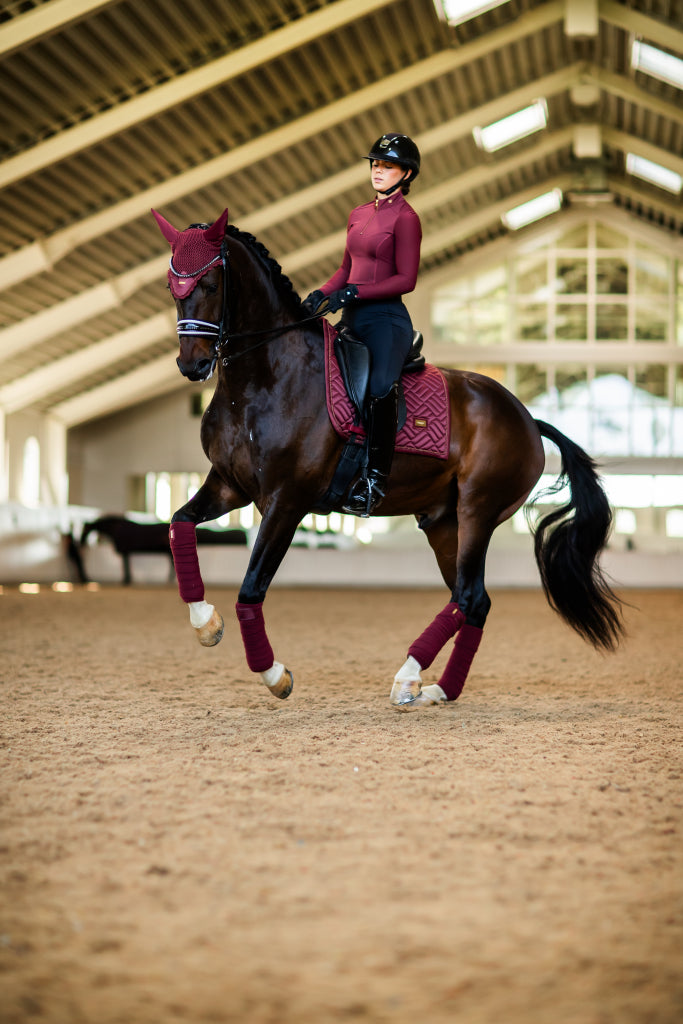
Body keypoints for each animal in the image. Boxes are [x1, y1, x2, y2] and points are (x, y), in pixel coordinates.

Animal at [152, 207, 622, 712]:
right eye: (172, 287)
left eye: (211, 283)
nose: (192, 365)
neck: (264, 378)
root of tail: (528, 419)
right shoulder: (229, 485)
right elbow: (178, 526)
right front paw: (206, 624)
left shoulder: (286, 502)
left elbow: (250, 588)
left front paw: (274, 675)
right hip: (442, 521)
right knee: (472, 599)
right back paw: (438, 688)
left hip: (478, 510)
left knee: (468, 595)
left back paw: (408, 678)